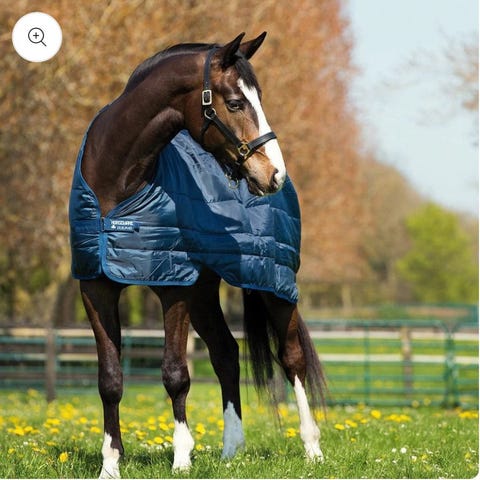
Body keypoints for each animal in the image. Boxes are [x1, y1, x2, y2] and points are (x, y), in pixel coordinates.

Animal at [70, 32, 324, 478]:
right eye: (236, 103)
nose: (274, 174)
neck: (117, 186)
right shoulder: (96, 287)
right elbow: (110, 379)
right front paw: (110, 464)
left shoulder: (174, 287)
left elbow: (175, 373)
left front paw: (181, 459)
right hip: (205, 293)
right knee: (226, 354)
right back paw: (231, 450)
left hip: (273, 281)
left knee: (292, 358)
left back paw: (312, 448)